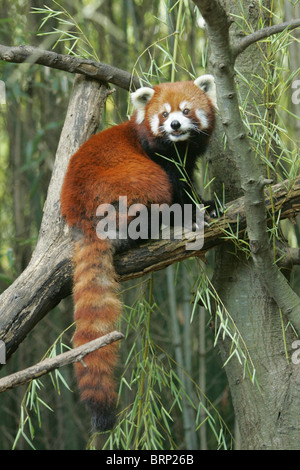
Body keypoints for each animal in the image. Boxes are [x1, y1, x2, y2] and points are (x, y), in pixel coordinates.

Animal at [59, 73, 217, 430]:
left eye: (186, 110)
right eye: (163, 114)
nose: (174, 125)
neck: (177, 147)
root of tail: (80, 215)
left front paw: (206, 203)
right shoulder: (160, 160)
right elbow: (179, 189)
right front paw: (196, 210)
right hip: (129, 183)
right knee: (153, 191)